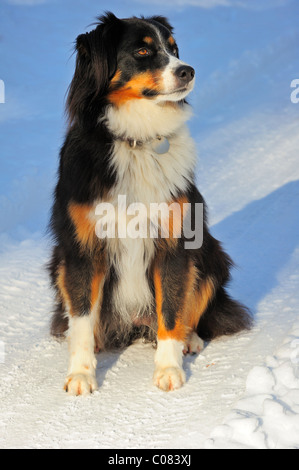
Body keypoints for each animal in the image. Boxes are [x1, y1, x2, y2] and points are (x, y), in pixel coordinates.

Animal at [47, 12, 253, 394]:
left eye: (173, 49)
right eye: (142, 51)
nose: (188, 70)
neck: (136, 139)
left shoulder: (174, 242)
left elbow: (171, 309)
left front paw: (168, 369)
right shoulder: (82, 248)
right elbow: (81, 319)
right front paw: (81, 374)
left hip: (210, 255)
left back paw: (189, 340)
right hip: (58, 263)